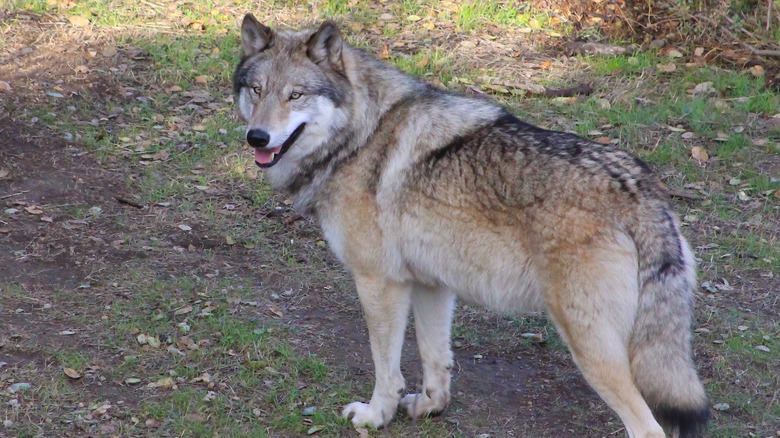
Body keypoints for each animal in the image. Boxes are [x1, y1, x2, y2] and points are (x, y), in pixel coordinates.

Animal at [233, 14, 712, 438]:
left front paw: (375, 416)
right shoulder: (431, 283)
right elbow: (435, 360)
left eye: (295, 95)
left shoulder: (379, 282)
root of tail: (641, 189)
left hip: (589, 345)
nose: (257, 137)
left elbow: (386, 368)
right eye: (257, 90)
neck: (359, 136)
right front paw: (430, 408)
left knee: (648, 427)